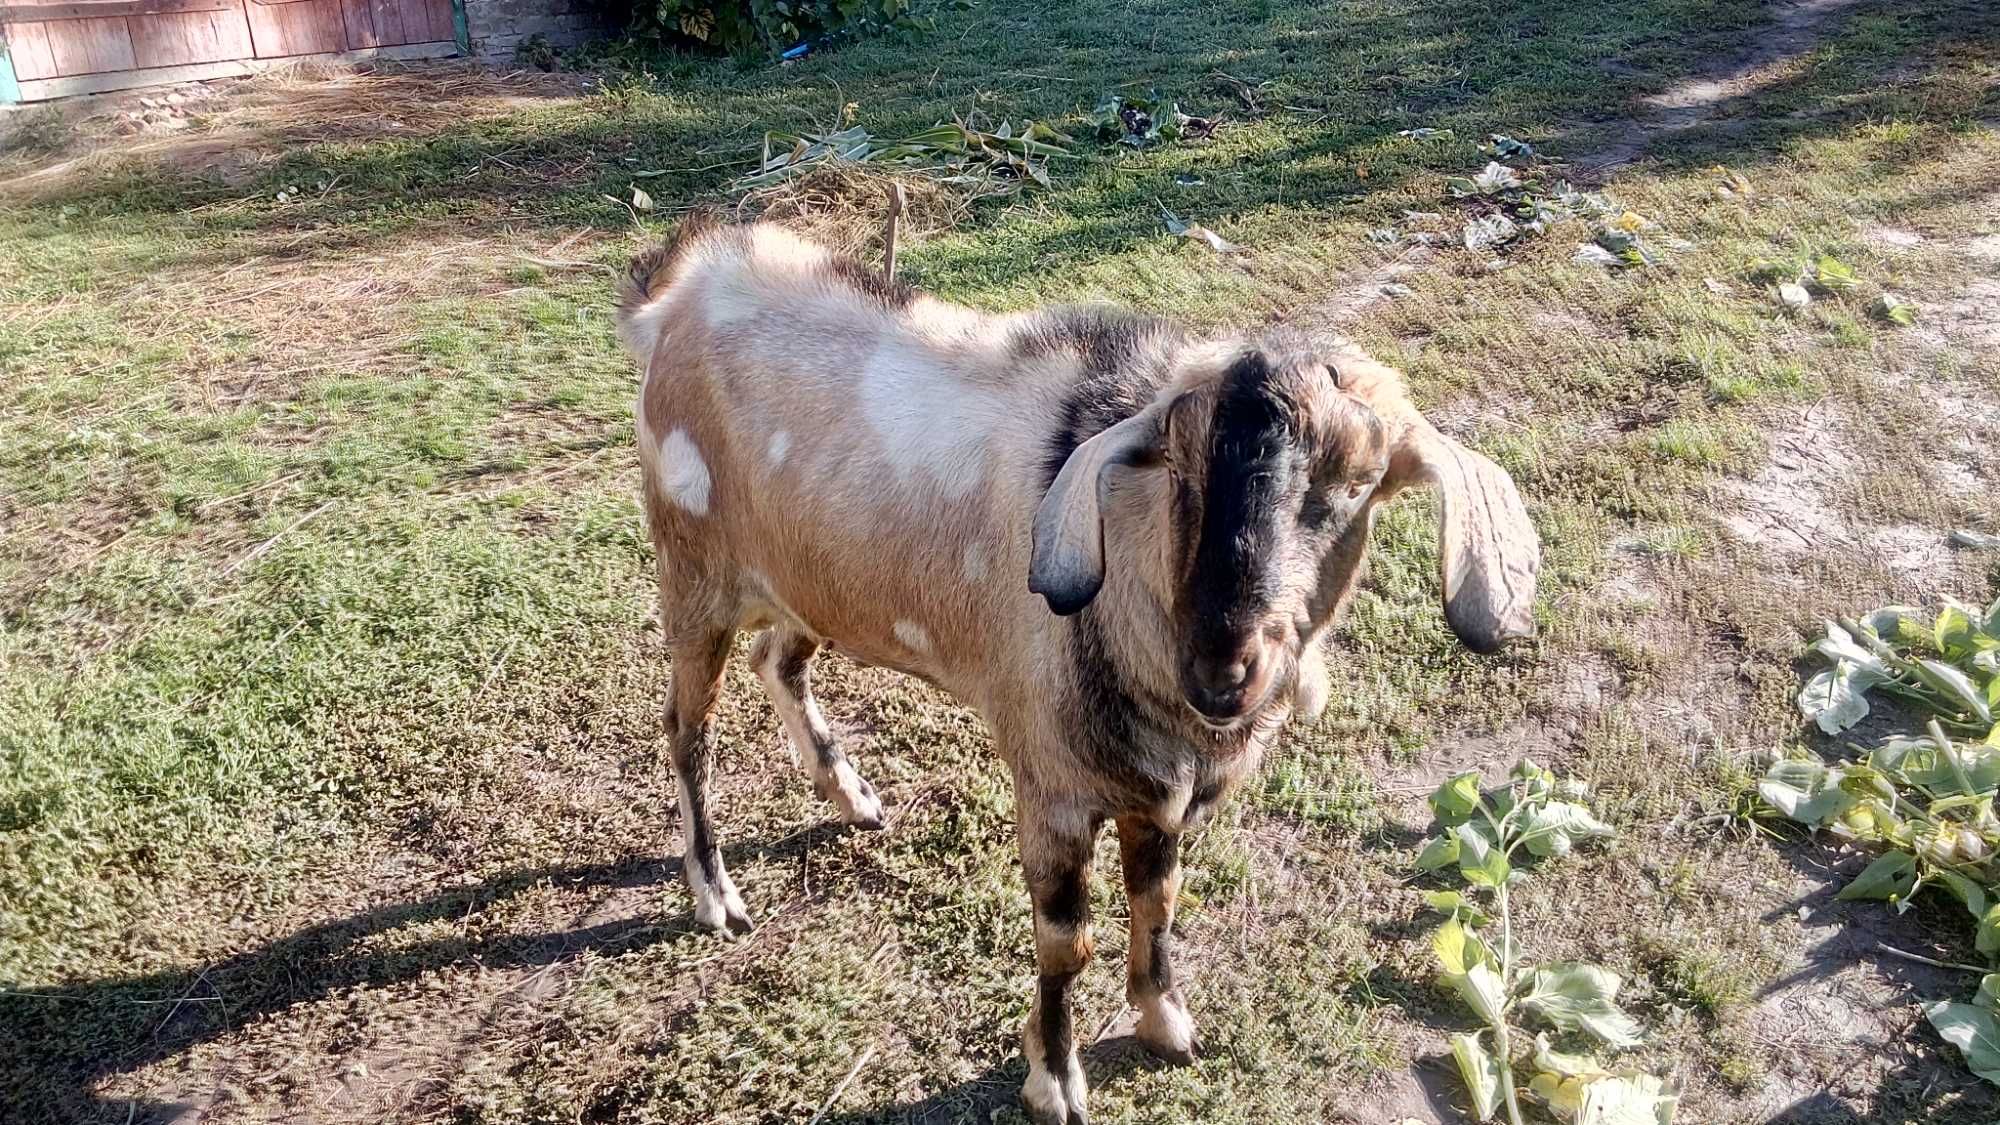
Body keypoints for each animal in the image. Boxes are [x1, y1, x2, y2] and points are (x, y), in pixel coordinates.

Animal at [616, 217, 1536, 1120]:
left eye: (1354, 487)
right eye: (1179, 470)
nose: (1221, 670)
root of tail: (677, 293)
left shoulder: (1157, 792)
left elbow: (1157, 901)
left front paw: (1165, 1020)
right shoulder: (1054, 786)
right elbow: (1067, 941)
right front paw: (1054, 1077)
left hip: (811, 578)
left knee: (779, 658)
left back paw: (851, 794)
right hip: (694, 571)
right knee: (687, 729)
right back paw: (716, 893)